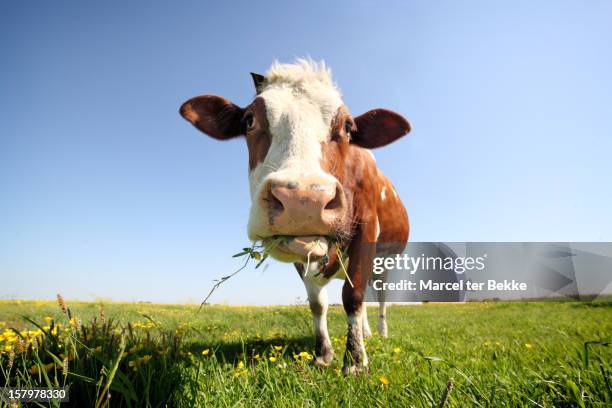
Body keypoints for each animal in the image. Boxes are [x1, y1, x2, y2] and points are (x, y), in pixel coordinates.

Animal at [182, 59, 412, 374]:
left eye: (348, 127)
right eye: (249, 120)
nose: (303, 200)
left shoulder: (366, 229)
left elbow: (353, 296)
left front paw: (355, 361)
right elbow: (318, 303)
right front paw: (324, 353)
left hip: (385, 262)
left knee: (378, 295)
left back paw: (379, 332)